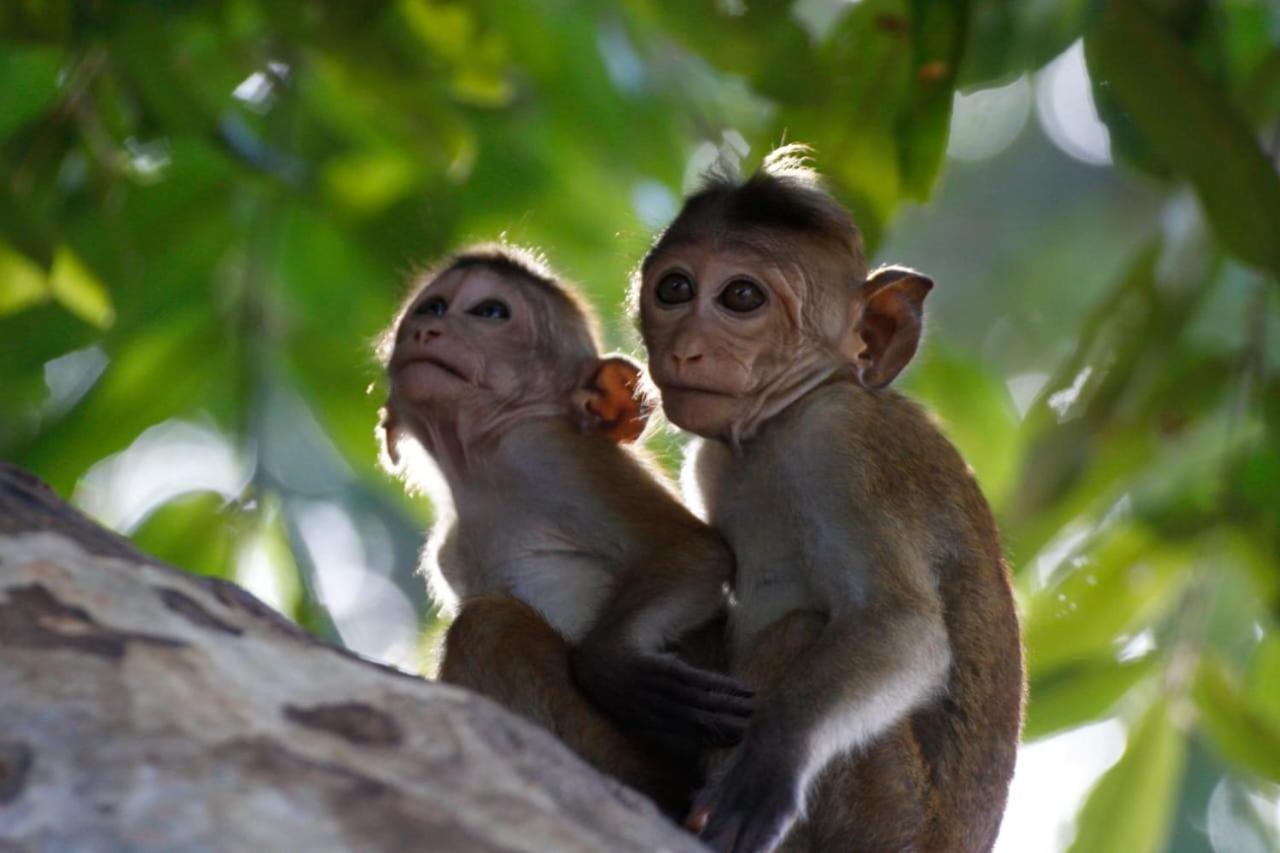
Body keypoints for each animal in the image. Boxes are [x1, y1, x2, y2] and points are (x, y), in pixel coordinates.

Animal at [373, 242, 752, 814]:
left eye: (490, 312)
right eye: (432, 307)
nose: (426, 330)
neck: (476, 471)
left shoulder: (555, 455)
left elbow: (692, 548)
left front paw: (613, 667)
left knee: (490, 626)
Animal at [629, 147, 1029, 850]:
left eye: (741, 297)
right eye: (674, 289)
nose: (685, 349)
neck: (783, 419)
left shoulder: (839, 445)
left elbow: (903, 626)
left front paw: (771, 764)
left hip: (884, 819)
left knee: (797, 631)